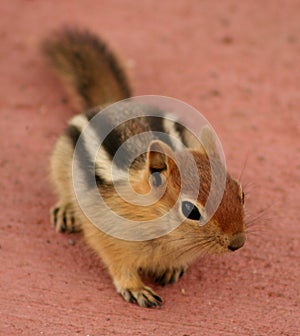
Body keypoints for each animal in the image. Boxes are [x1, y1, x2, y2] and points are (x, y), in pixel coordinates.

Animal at [42, 27, 246, 308]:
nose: (238, 243)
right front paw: (136, 288)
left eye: (241, 194)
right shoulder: (109, 237)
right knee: (62, 189)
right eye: (190, 211)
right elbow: (119, 266)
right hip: (60, 162)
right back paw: (66, 210)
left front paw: (172, 268)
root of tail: (115, 104)